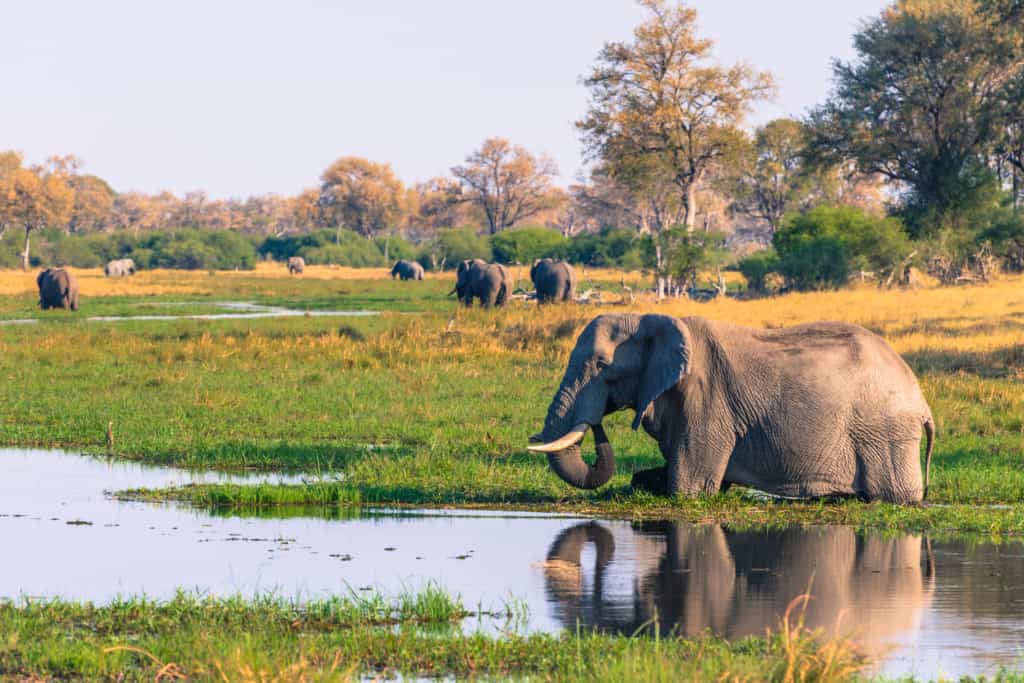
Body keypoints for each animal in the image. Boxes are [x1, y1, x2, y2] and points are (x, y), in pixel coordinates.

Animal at [528, 313, 937, 501]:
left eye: (601, 366)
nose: (597, 421)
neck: (654, 320)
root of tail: (921, 400)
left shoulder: (707, 400)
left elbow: (688, 489)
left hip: (885, 433)